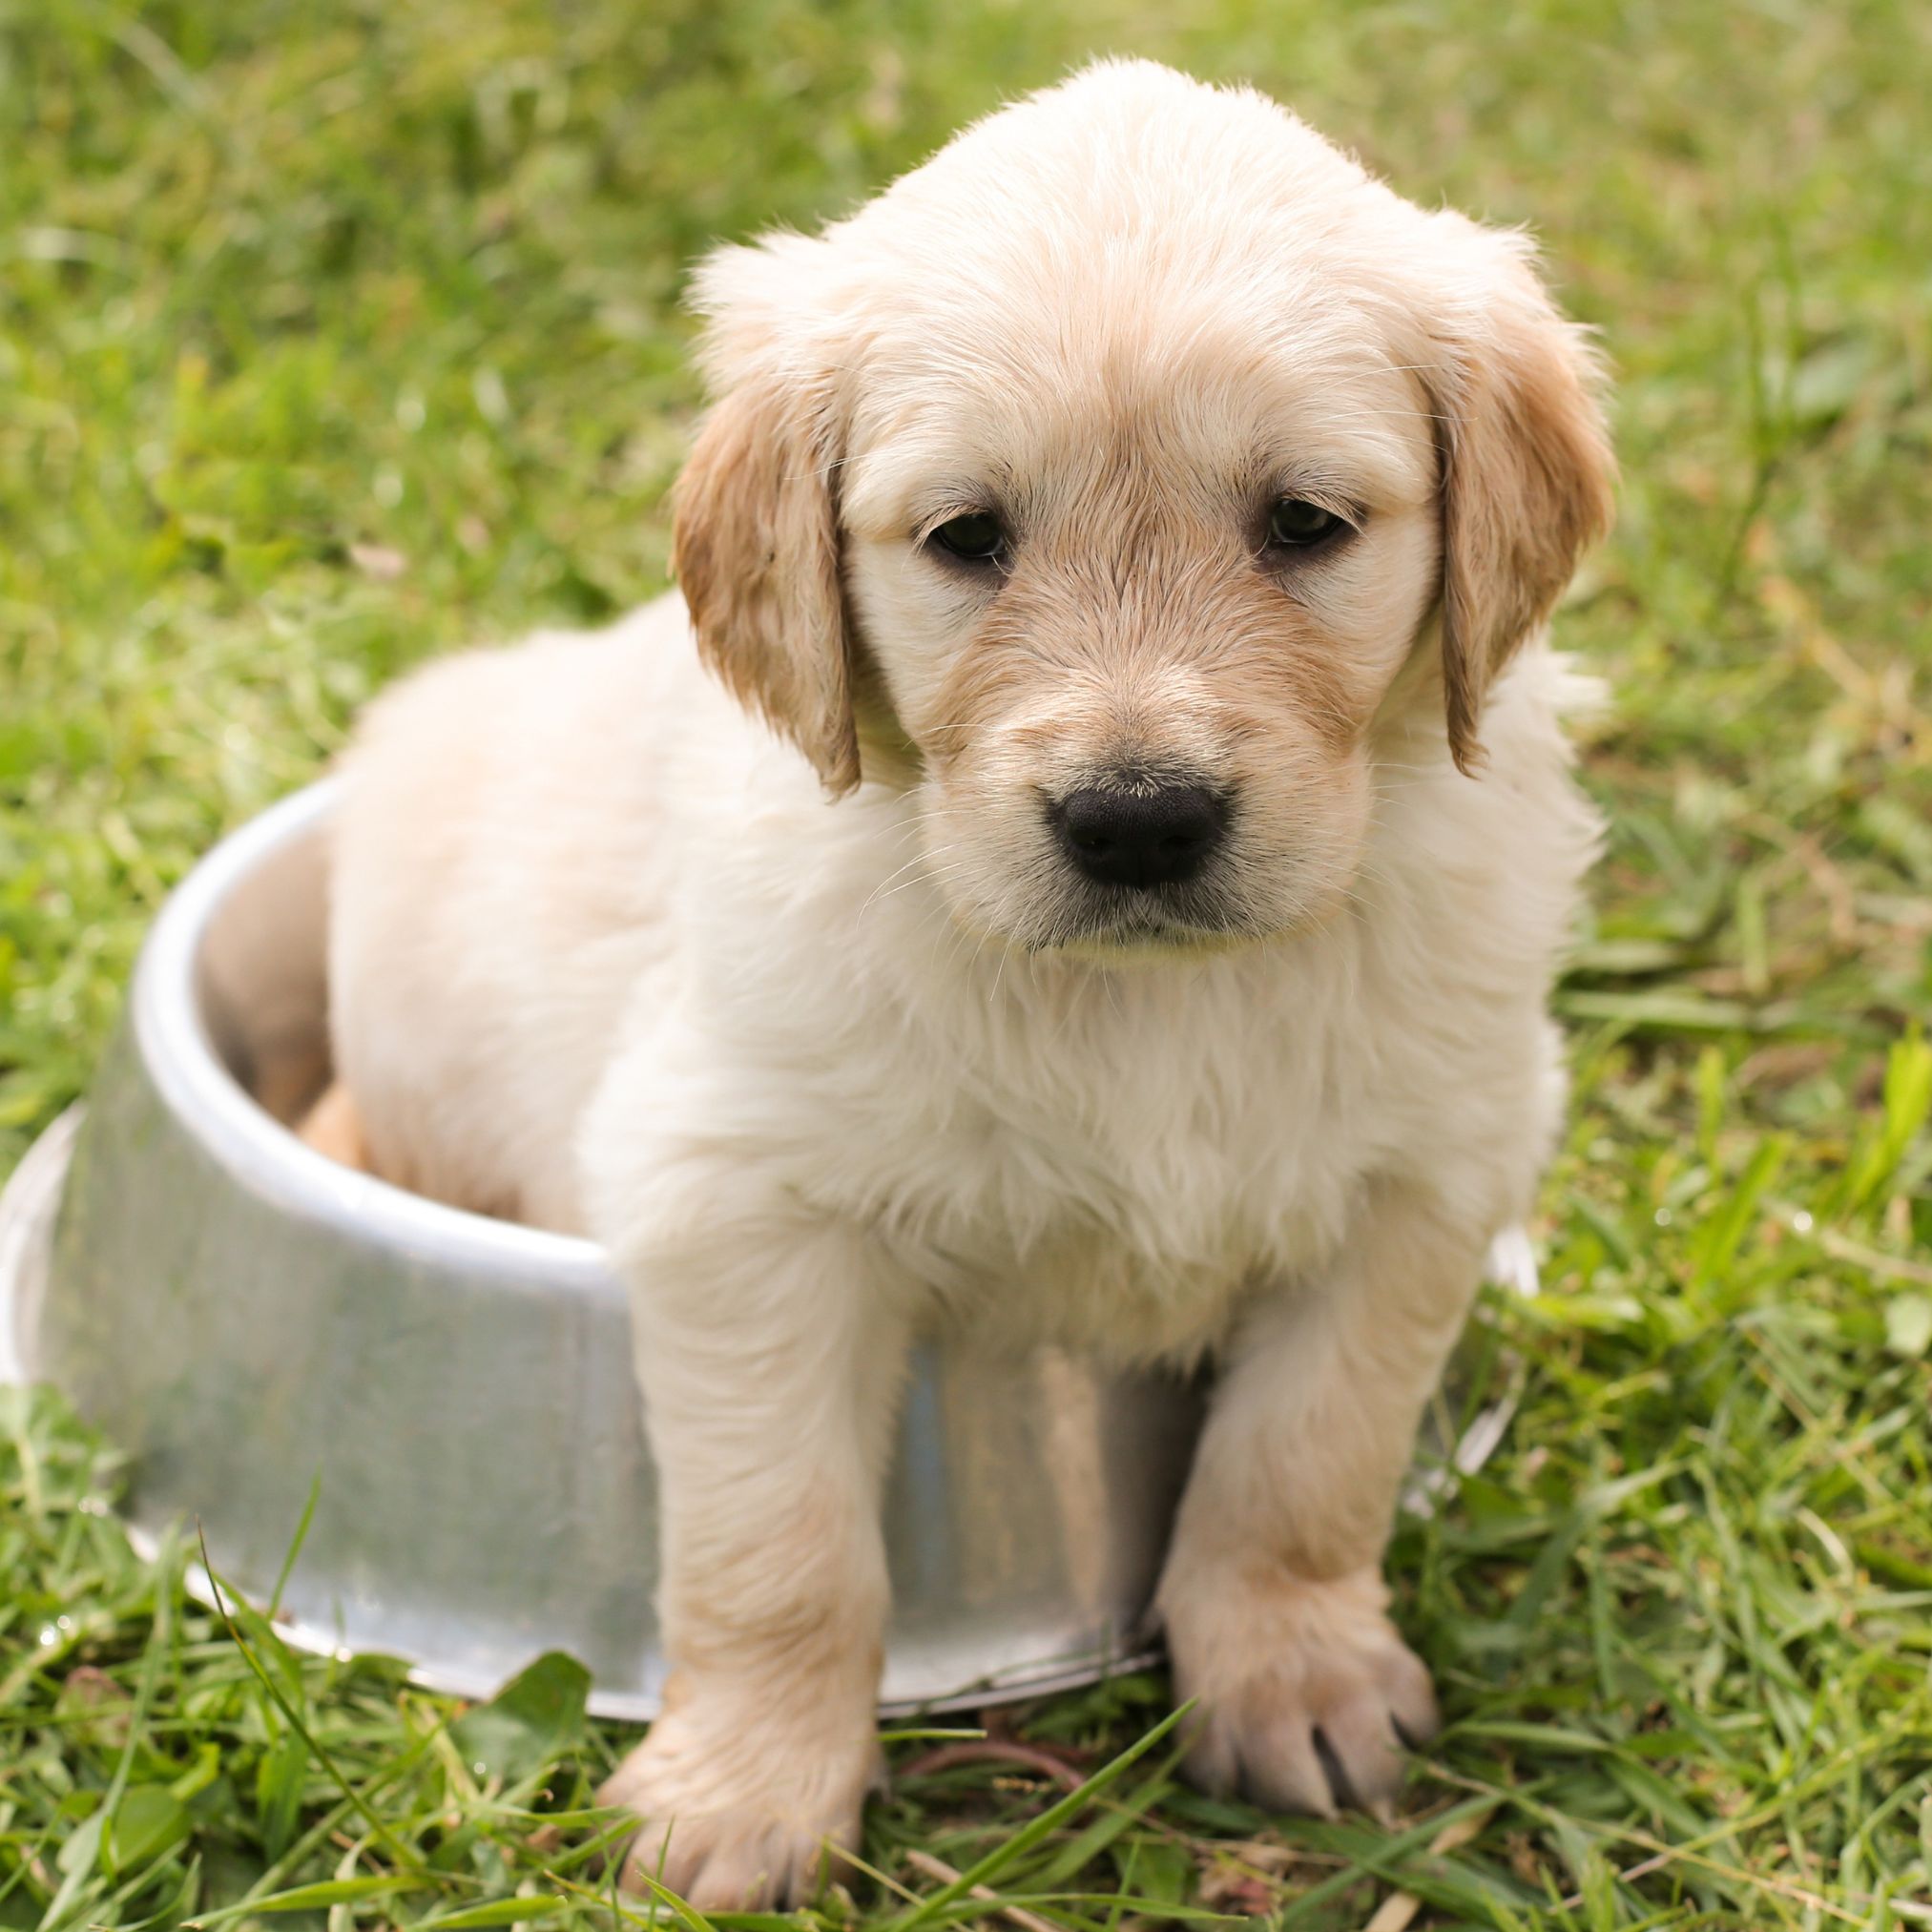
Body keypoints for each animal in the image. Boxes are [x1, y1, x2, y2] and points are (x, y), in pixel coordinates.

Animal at [321, 56, 1614, 1901]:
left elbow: (1304, 1462)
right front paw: (740, 1797)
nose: (1137, 820)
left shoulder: (1429, 1171)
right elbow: (781, 1545)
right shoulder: (735, 1198)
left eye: (1305, 524)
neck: (1156, 998)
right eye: (966, 537)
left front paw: (1293, 1675)